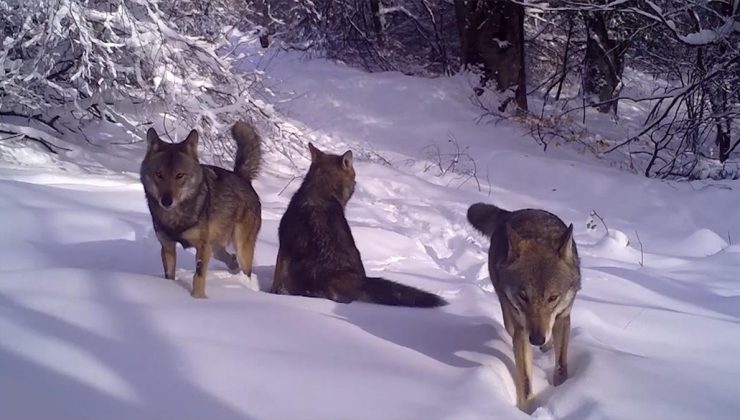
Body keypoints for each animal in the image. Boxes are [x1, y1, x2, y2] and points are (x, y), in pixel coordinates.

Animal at [140, 121, 262, 298]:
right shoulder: (168, 246)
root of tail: (243, 178)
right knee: (230, 258)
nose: (166, 201)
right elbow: (169, 275)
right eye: (159, 174)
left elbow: (198, 275)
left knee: (246, 270)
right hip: (216, 247)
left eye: (179, 175)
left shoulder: (203, 247)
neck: (176, 217)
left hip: (240, 248)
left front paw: (198, 299)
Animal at [466, 203, 580, 410]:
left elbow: (561, 366)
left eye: (553, 297)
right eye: (523, 296)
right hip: (509, 318)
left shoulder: (562, 318)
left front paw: (563, 391)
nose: (536, 339)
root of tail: (511, 213)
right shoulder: (521, 331)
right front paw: (528, 410)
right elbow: (525, 380)